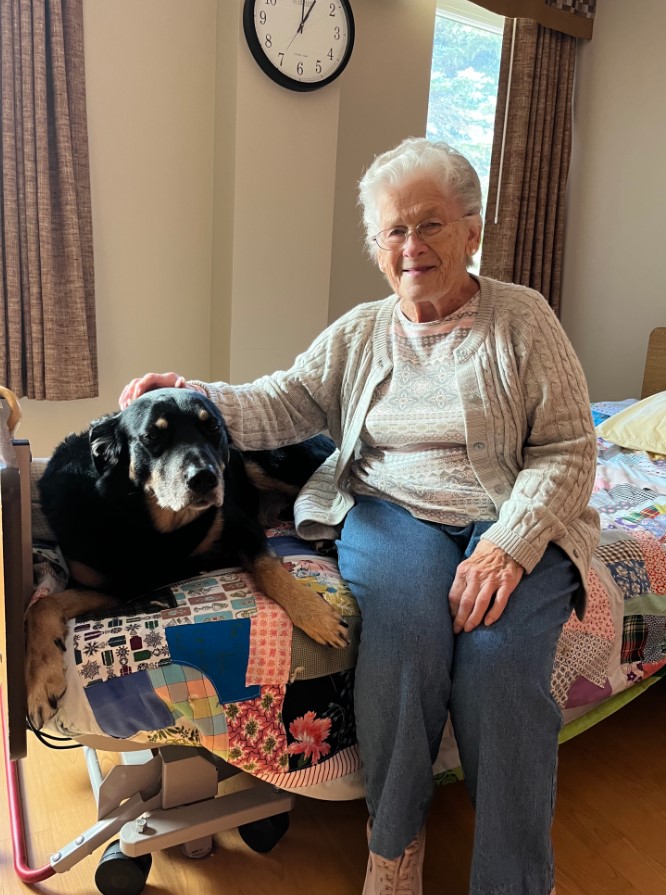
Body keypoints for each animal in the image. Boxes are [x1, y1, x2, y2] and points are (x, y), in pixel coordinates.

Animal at [23, 388, 344, 732]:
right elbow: (41, 606)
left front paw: (314, 613)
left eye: (212, 428)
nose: (205, 479)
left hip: (267, 462)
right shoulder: (113, 589)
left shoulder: (240, 526)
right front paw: (40, 683)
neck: (146, 522)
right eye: (152, 435)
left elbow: (268, 567)